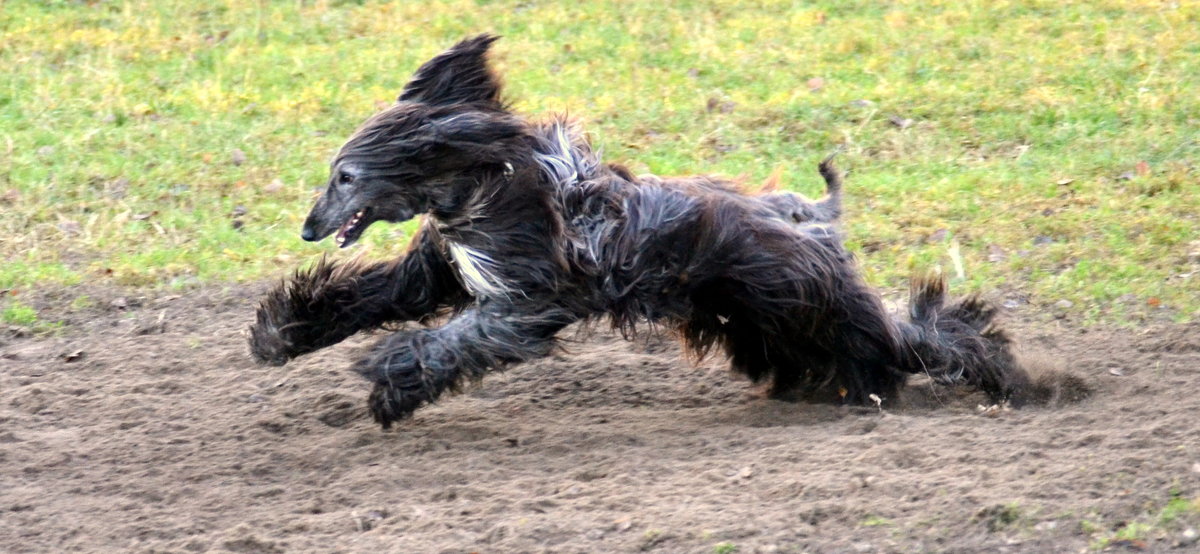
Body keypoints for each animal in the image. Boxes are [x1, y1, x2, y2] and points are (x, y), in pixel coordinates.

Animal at [248, 34, 1027, 429]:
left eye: (343, 176)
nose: (308, 228)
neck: (483, 186)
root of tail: (807, 218)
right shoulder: (442, 269)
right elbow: (371, 296)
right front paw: (280, 333)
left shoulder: (528, 300)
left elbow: (455, 339)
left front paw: (389, 379)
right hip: (766, 317)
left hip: (808, 302)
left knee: (913, 337)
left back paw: (1002, 379)